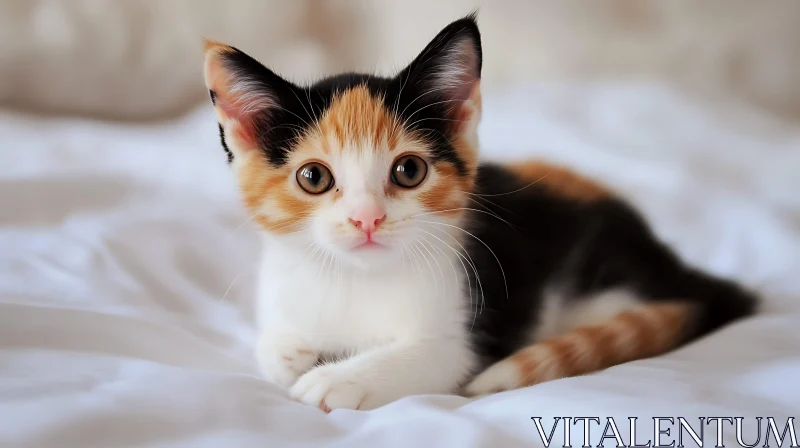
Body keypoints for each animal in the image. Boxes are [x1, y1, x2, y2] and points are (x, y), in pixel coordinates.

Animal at [200, 14, 756, 412]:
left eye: (408, 171)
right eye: (313, 178)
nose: (367, 219)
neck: (355, 279)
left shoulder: (469, 329)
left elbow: (436, 355)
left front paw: (338, 378)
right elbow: (273, 346)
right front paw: (291, 351)